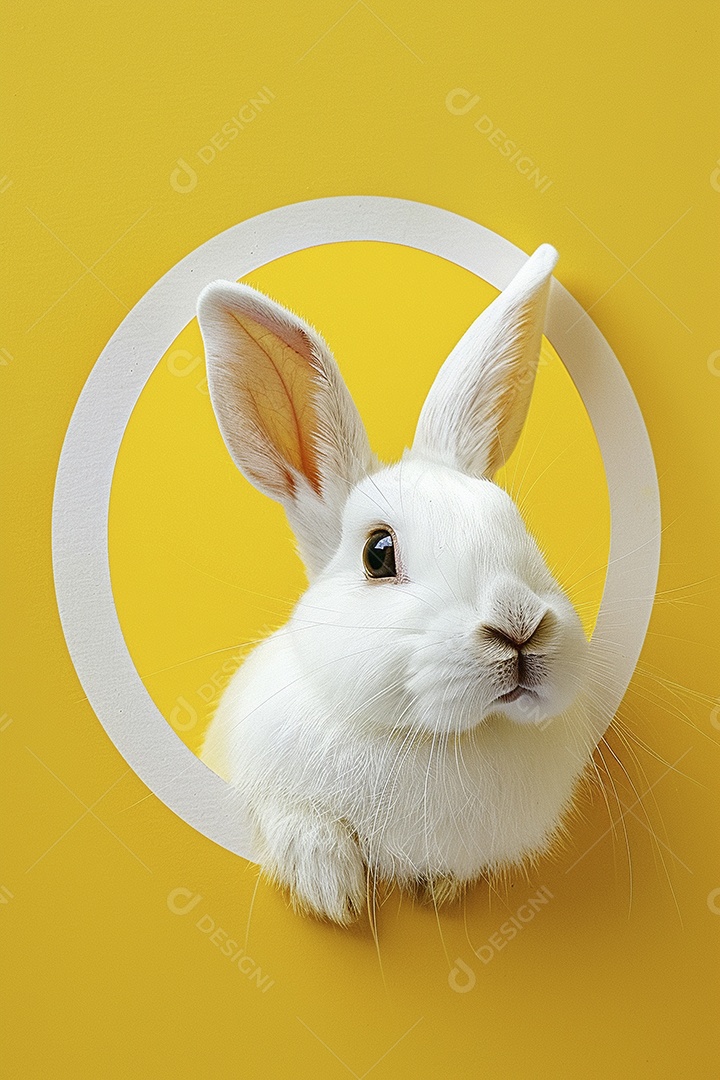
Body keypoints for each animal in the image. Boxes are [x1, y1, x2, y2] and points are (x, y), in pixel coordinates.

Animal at [197, 244, 592, 925]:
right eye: (377, 554)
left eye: (517, 525)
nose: (518, 626)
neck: (435, 739)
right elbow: (295, 820)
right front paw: (331, 888)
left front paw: (440, 888)